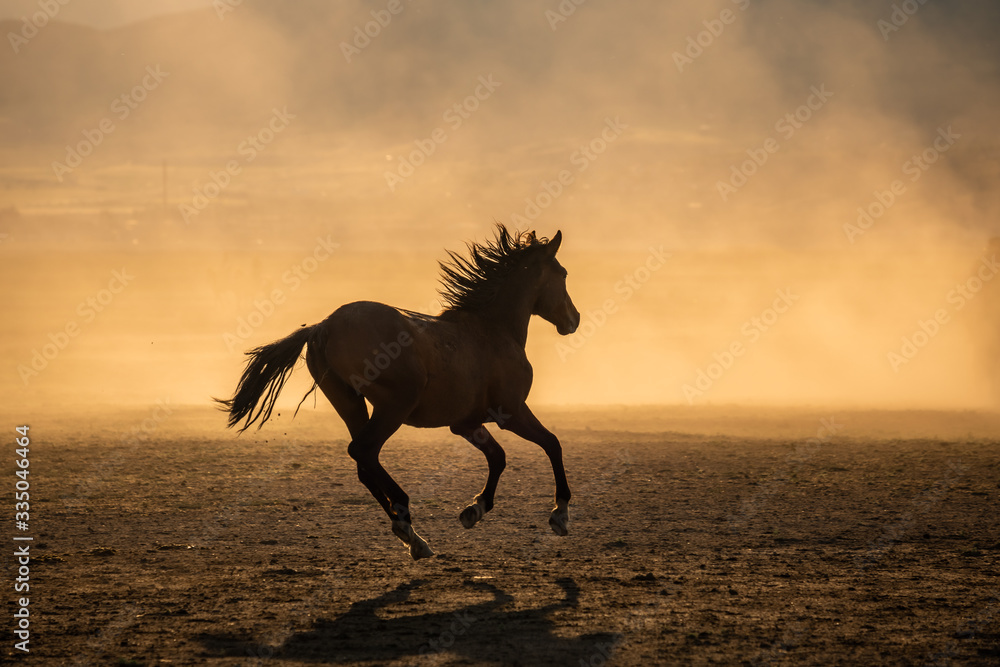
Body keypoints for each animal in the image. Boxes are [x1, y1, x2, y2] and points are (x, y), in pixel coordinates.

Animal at [215, 227, 584, 560]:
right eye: (563, 273)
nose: (574, 319)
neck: (492, 331)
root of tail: (323, 327)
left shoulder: (466, 423)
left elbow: (498, 457)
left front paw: (473, 511)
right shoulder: (511, 411)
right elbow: (551, 443)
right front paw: (560, 515)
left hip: (350, 403)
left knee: (363, 461)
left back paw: (411, 536)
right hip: (394, 405)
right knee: (363, 450)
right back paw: (406, 519)